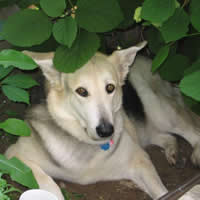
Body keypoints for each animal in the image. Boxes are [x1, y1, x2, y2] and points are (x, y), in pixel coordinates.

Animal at [4, 41, 200, 199]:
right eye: (81, 91)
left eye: (110, 88)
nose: (106, 131)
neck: (83, 140)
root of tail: (146, 59)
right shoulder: (14, 155)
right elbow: (47, 182)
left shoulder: (139, 160)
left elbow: (162, 191)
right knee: (166, 136)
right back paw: (173, 151)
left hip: (158, 109)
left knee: (191, 130)